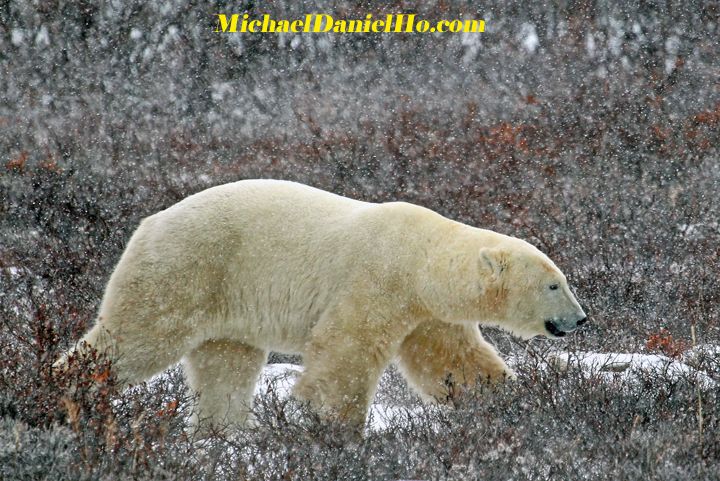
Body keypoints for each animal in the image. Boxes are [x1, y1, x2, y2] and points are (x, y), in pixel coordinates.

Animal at [60, 178, 584, 426]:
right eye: (554, 285)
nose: (579, 319)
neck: (420, 258)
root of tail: (148, 222)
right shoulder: (376, 280)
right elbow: (344, 351)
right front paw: (326, 424)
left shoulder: (424, 312)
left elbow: (452, 359)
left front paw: (511, 402)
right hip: (186, 269)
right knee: (137, 337)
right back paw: (67, 389)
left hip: (226, 305)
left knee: (225, 368)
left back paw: (219, 434)